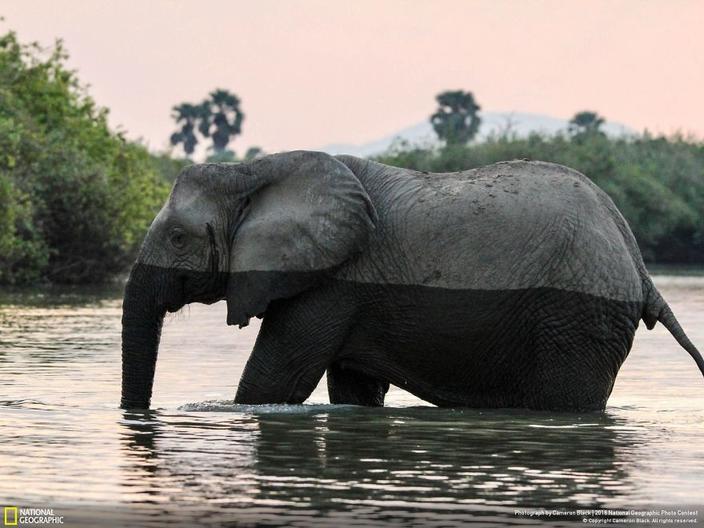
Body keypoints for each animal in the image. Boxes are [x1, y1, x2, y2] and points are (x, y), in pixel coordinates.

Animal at [121, 151, 704, 410]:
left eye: (177, 238)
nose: (135, 415)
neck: (255, 170)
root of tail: (638, 263)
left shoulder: (335, 282)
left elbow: (274, 381)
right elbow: (353, 390)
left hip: (576, 320)